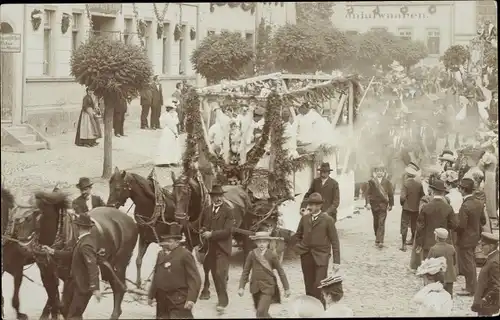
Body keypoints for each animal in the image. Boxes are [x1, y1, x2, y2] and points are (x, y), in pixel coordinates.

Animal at [10, 191, 138, 318]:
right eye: (16, 216)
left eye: (33, 214)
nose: (23, 246)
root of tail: (129, 220)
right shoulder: (47, 274)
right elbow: (55, 301)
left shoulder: (71, 278)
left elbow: (65, 306)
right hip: (106, 264)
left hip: (119, 264)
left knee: (119, 288)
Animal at [171, 170, 254, 300]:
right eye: (173, 194)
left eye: (186, 193)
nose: (179, 218)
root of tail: (241, 188)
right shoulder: (189, 243)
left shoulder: (207, 244)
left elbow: (207, 266)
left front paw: (205, 291)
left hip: (245, 228)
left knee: (246, 248)